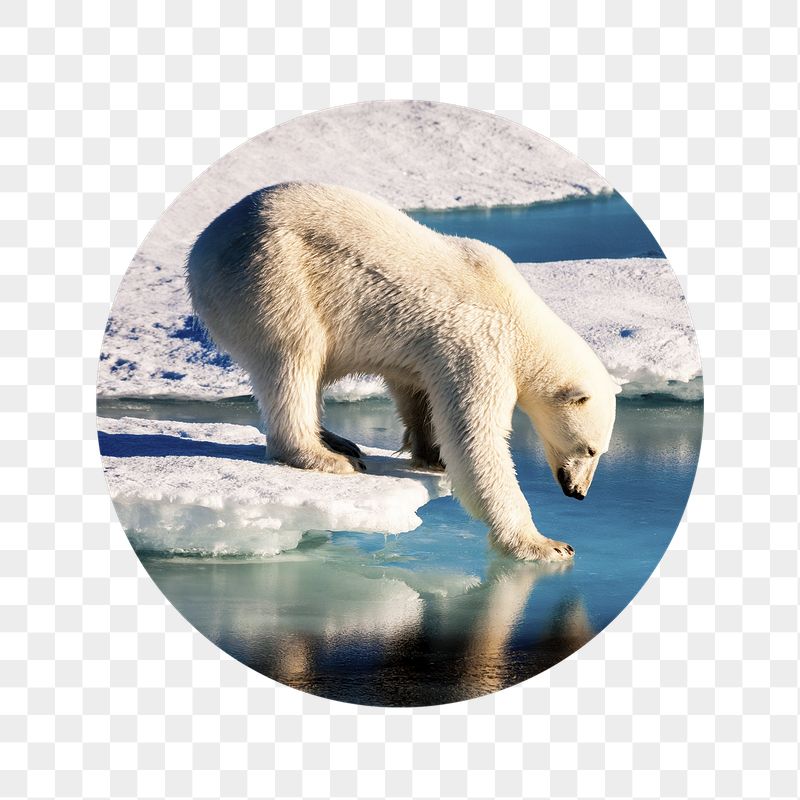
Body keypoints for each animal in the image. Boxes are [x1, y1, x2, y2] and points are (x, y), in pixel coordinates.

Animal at [187, 182, 620, 561]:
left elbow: (417, 392)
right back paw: (325, 456)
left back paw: (337, 440)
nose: (578, 492)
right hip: (273, 276)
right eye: (590, 449)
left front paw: (431, 454)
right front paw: (547, 544)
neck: (520, 317)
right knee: (294, 357)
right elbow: (476, 438)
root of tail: (202, 247)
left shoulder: (430, 350)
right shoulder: (480, 346)